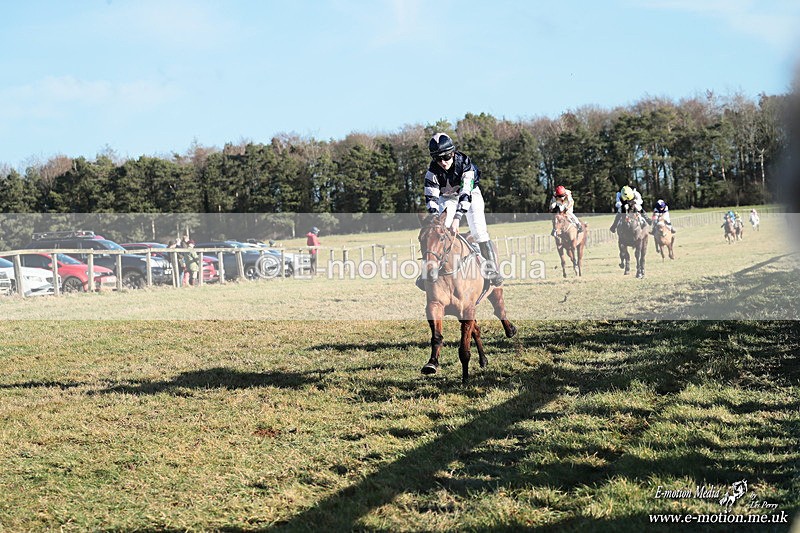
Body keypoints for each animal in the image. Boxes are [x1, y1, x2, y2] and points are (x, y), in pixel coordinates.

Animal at [418, 213, 517, 383]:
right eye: (420, 239)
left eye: (441, 237)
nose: (430, 272)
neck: (450, 275)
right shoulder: (435, 305)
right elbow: (437, 336)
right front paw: (431, 364)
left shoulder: (467, 310)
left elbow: (464, 347)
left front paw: (465, 378)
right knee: (476, 330)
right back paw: (483, 360)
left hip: (495, 291)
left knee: (500, 311)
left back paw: (510, 330)